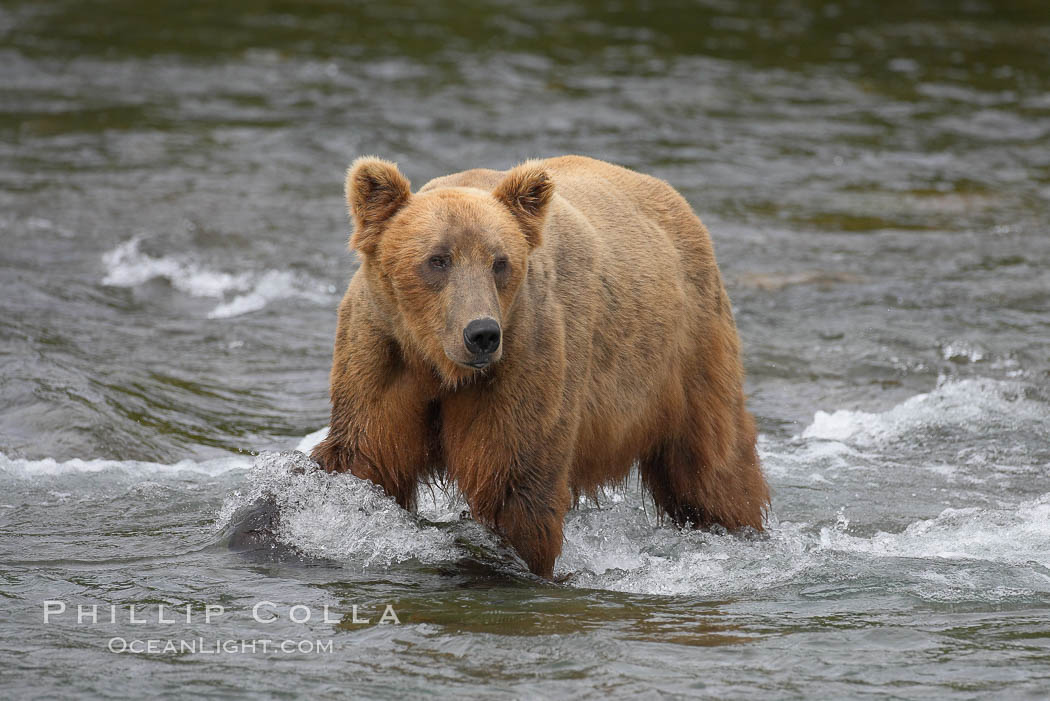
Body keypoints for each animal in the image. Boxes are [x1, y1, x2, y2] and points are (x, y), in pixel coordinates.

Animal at [310, 156, 772, 579]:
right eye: (437, 259)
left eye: (500, 261)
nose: (481, 333)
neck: (439, 364)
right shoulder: (382, 354)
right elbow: (367, 457)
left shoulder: (526, 358)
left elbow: (514, 483)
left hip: (687, 349)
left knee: (711, 463)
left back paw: (736, 528)